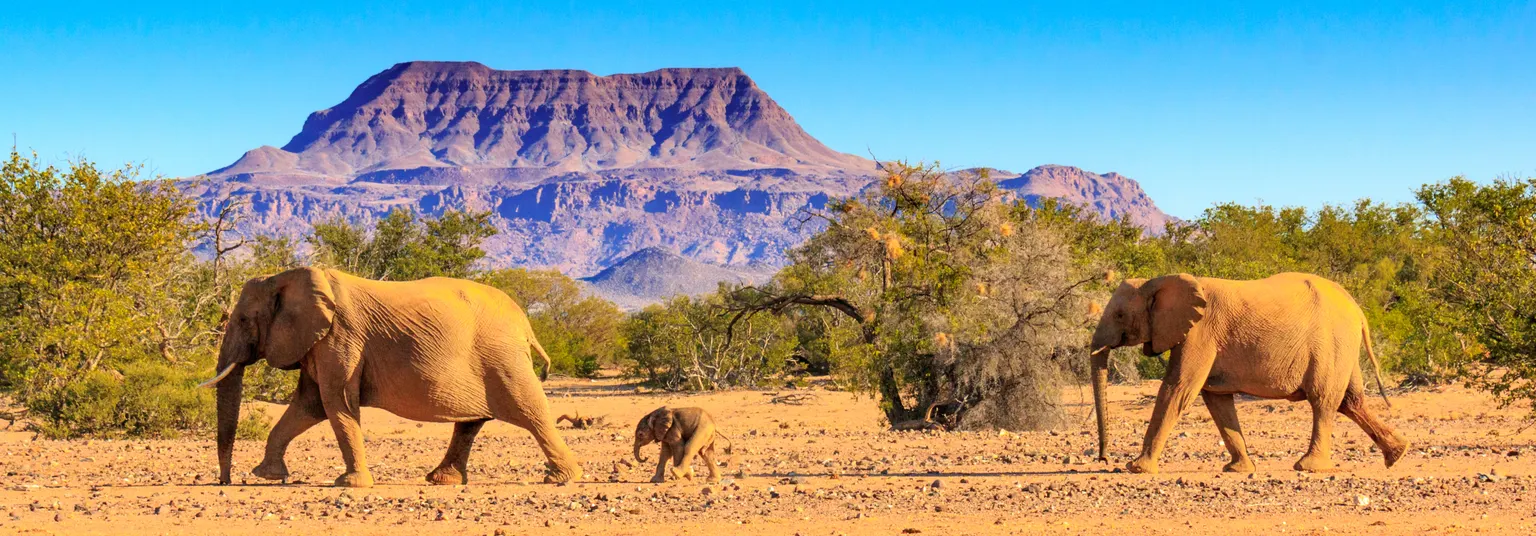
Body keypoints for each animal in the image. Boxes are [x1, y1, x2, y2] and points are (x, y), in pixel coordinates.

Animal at [195, 265, 574, 485]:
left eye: (243, 320)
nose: (226, 482)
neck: (285, 277)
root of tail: (524, 320)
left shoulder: (341, 337)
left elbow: (336, 403)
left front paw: (349, 484)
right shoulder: (319, 342)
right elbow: (309, 405)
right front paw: (268, 476)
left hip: (502, 357)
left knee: (530, 411)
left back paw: (563, 478)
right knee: (471, 422)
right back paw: (441, 479)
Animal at [1087, 271, 1406, 473]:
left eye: (1119, 315)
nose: (1104, 459)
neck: (1159, 281)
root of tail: (1357, 308)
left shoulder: (1200, 331)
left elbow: (1178, 389)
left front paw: (1136, 468)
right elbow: (1217, 400)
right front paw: (1237, 469)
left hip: (1331, 342)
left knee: (1324, 401)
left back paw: (1309, 467)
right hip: (1343, 346)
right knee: (1351, 402)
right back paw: (1397, 454)